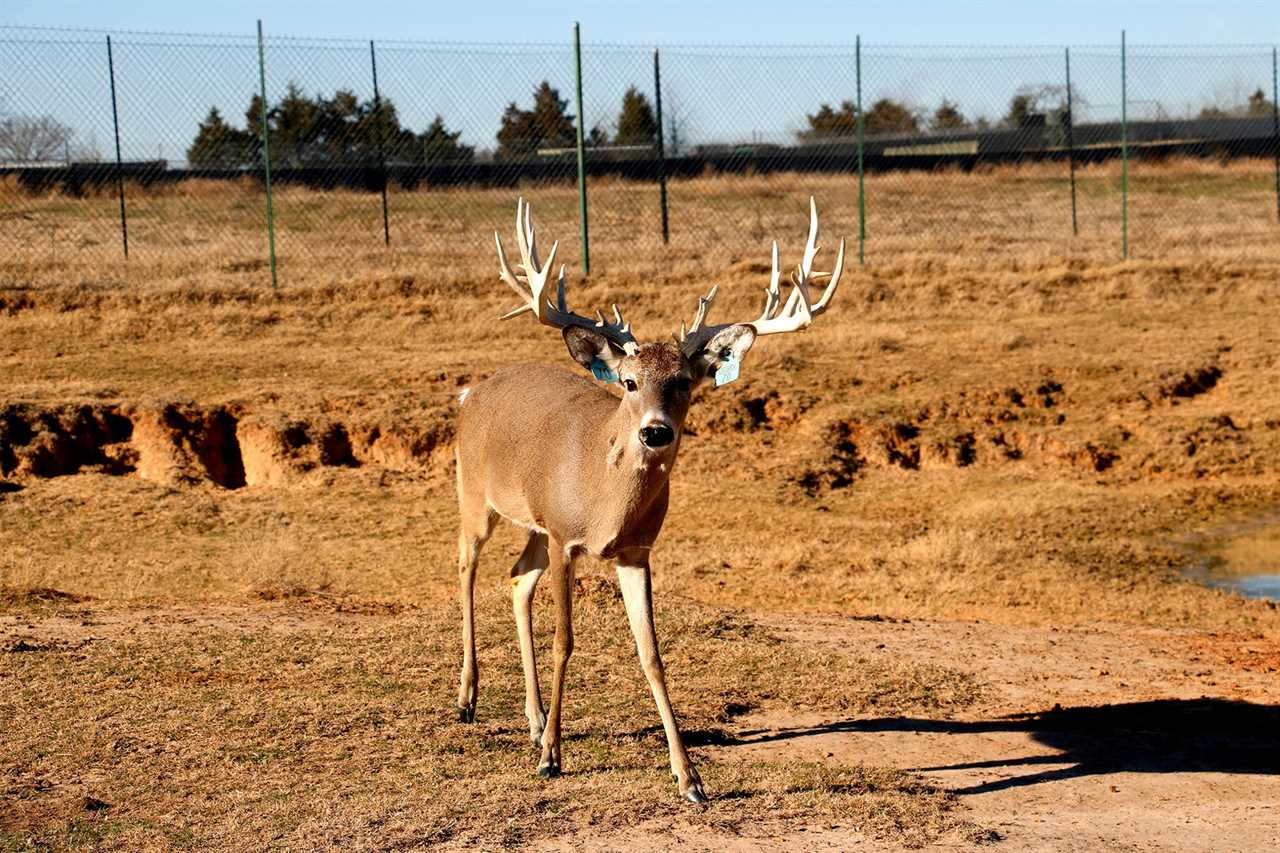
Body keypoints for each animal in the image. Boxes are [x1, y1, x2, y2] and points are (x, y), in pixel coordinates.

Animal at [455, 195, 844, 799]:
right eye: (630, 381)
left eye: (684, 381)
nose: (655, 432)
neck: (603, 504)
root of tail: (472, 391)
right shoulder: (567, 538)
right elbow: (565, 639)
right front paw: (551, 759)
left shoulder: (636, 551)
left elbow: (652, 653)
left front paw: (689, 777)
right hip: (475, 495)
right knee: (465, 566)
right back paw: (469, 699)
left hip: (535, 524)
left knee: (517, 578)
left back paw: (535, 719)